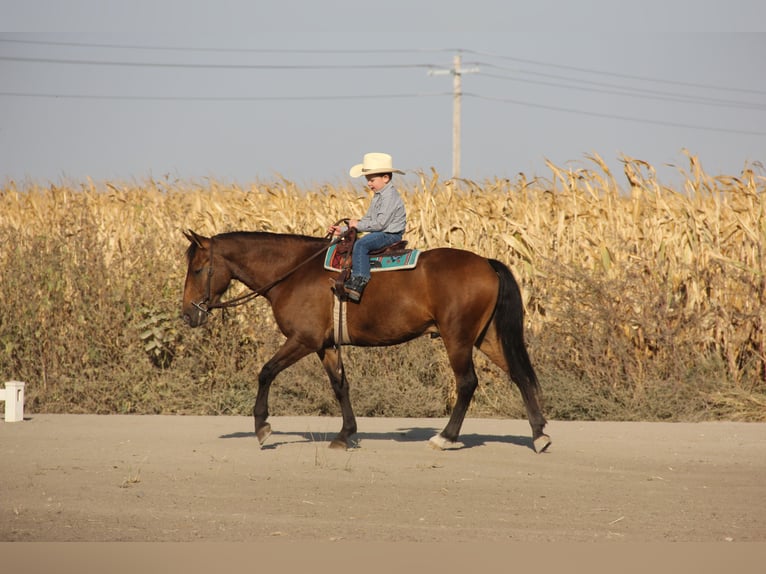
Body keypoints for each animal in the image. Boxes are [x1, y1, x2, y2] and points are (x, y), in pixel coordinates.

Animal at [180, 230, 552, 454]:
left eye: (197, 269)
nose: (187, 314)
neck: (294, 273)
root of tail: (487, 263)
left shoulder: (303, 340)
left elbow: (266, 372)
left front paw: (262, 427)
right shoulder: (325, 346)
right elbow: (340, 386)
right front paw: (346, 434)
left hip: (457, 338)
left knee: (467, 383)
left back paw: (445, 437)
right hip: (486, 337)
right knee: (519, 375)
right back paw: (539, 435)